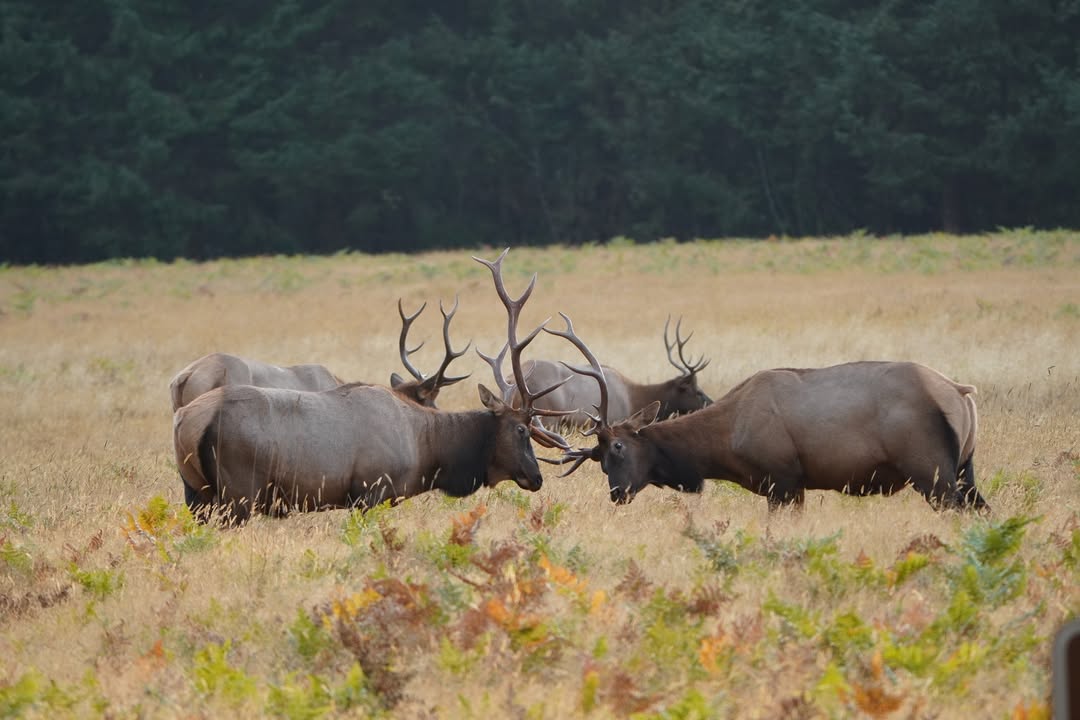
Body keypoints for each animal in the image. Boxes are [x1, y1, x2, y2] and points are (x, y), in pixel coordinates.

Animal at [547, 314, 988, 512]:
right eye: (599, 460)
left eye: (618, 448)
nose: (617, 493)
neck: (724, 444)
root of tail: (960, 393)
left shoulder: (784, 479)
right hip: (964, 468)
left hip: (930, 469)